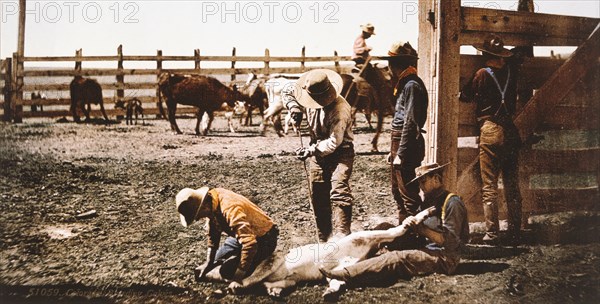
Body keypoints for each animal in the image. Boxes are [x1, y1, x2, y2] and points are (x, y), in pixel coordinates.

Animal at [195, 205, 434, 298]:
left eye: (226, 260)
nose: (199, 272)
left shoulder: (272, 261)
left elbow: (251, 278)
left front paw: (235, 286)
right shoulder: (283, 279)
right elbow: (272, 286)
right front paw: (275, 293)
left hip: (364, 237)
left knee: (396, 230)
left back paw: (426, 212)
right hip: (344, 264)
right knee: (338, 279)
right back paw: (328, 293)